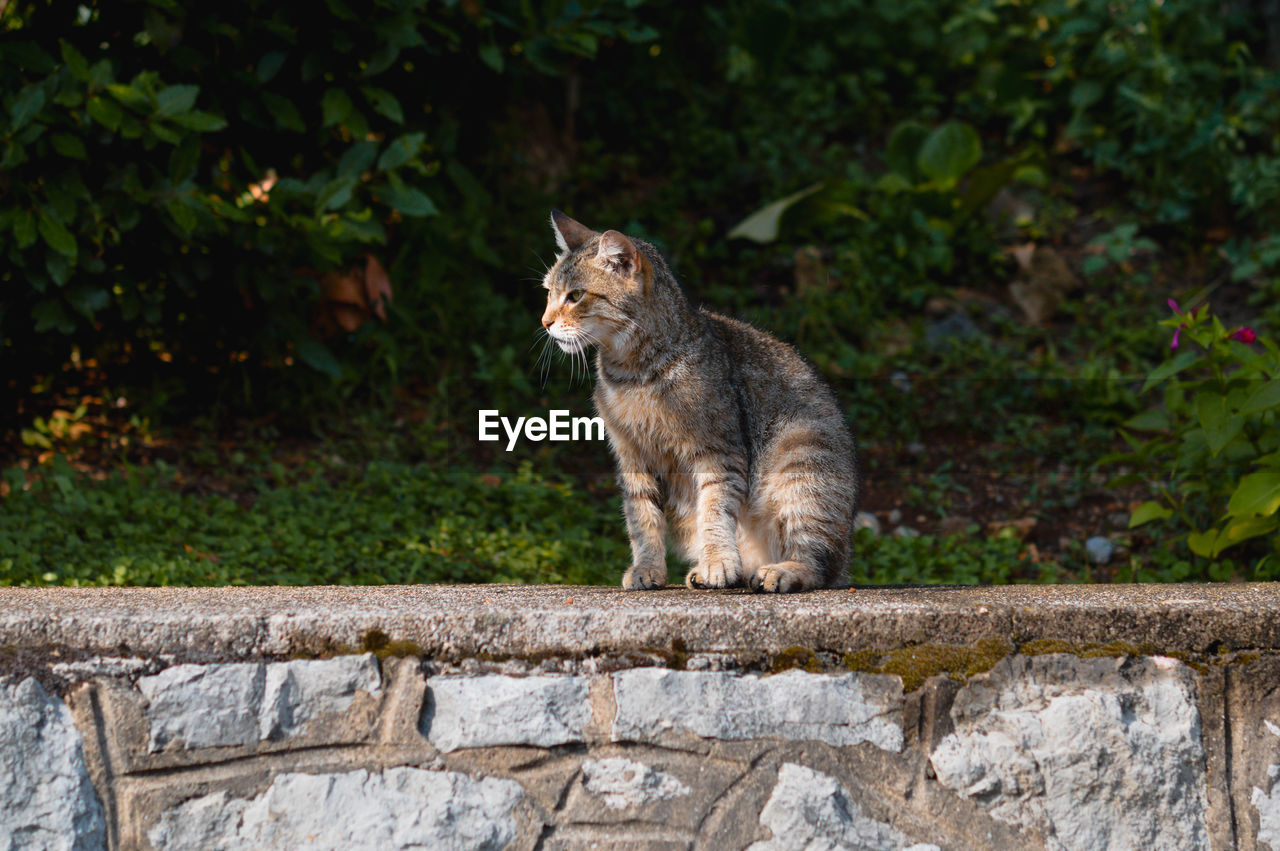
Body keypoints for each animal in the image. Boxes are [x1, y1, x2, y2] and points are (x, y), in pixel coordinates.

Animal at [540, 211, 860, 591]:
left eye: (575, 296)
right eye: (548, 293)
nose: (545, 322)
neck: (632, 373)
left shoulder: (717, 452)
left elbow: (714, 511)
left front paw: (718, 561)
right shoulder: (632, 456)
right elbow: (642, 520)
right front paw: (647, 567)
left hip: (801, 457)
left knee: (818, 563)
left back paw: (780, 570)